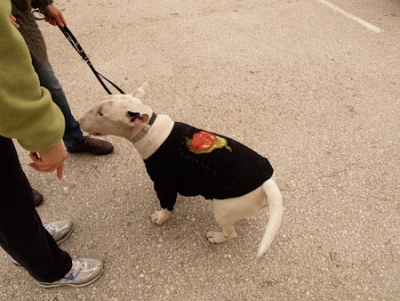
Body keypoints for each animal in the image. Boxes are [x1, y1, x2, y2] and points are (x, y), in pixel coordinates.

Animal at [79, 83, 282, 256]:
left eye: (101, 114)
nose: (79, 120)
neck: (148, 128)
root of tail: (266, 182)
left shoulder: (164, 183)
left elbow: (166, 204)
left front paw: (161, 218)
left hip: (223, 210)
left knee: (230, 233)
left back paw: (215, 237)